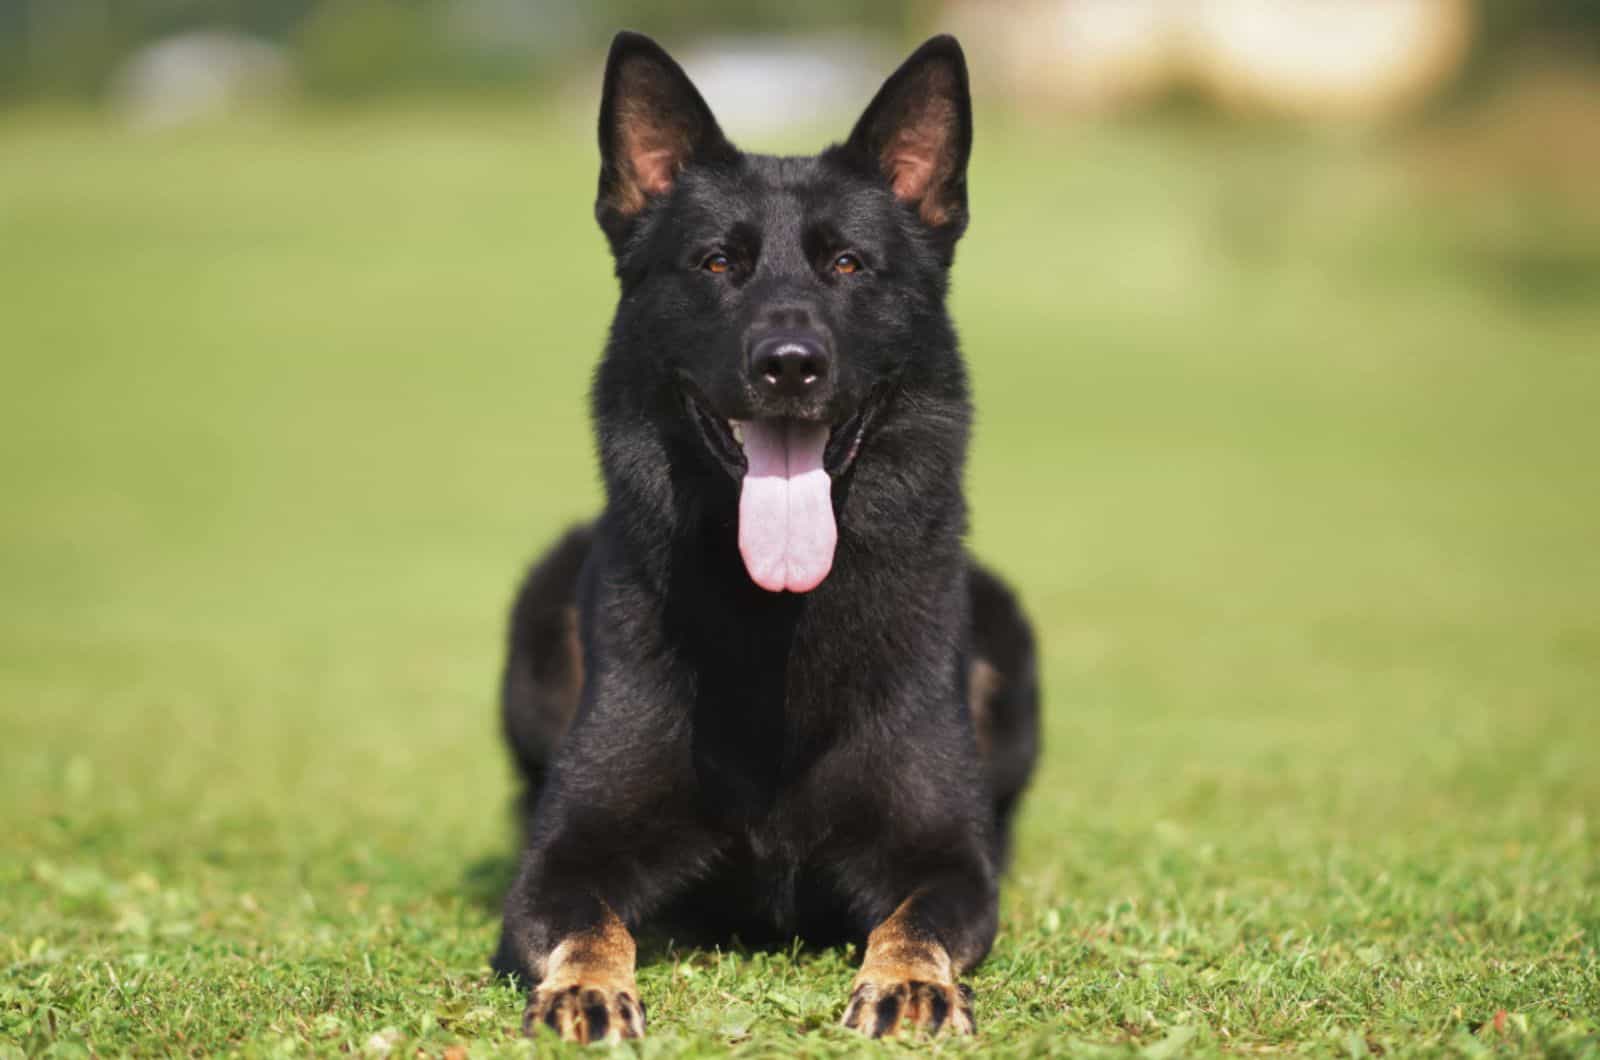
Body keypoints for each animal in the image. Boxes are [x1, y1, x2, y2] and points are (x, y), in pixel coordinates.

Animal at [489, 33, 1036, 1043]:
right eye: (715, 264)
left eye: (849, 265)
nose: (789, 366)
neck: (776, 624)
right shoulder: (565, 858)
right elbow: (586, 919)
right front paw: (586, 984)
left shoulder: (946, 859)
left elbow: (917, 918)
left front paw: (912, 980)